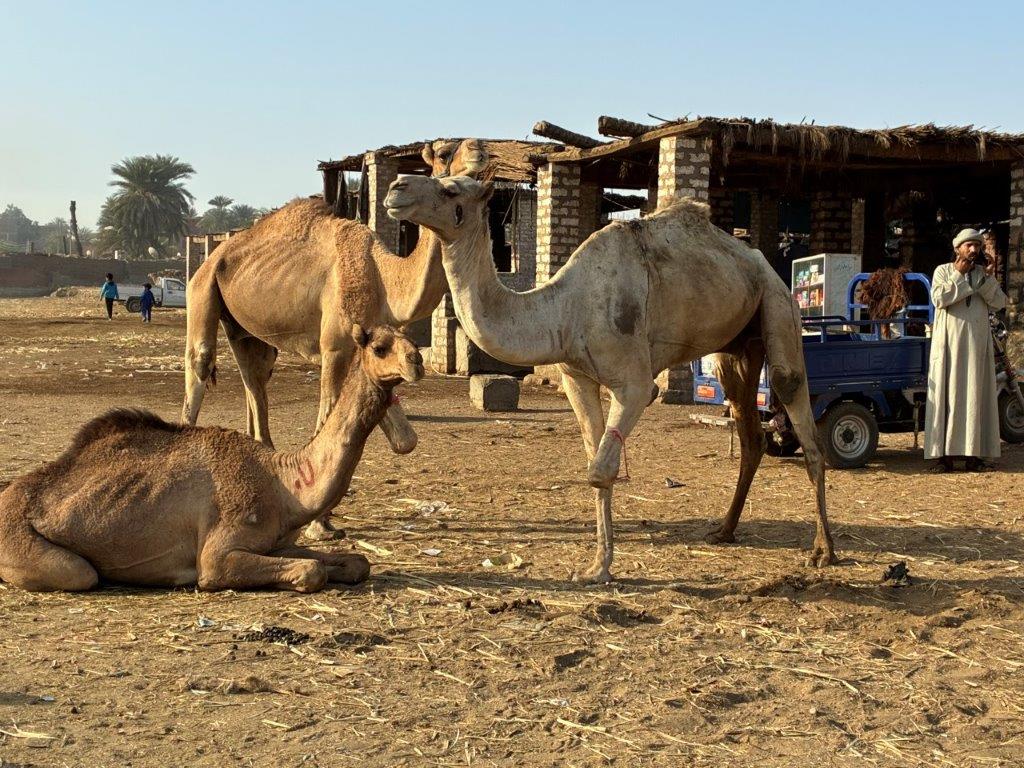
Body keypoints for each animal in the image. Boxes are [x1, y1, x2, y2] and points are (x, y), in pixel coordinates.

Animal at [0, 325, 423, 593]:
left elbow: (356, 563)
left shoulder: (275, 541)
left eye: (409, 338)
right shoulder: (219, 554)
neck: (283, 483)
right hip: (34, 548)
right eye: (379, 347)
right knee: (80, 573)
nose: (417, 360)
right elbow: (311, 570)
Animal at [183, 139, 488, 539]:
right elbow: (328, 413)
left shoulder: (374, 341)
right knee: (200, 366)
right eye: (442, 154)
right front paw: (319, 524)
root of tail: (217, 251)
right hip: (203, 289)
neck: (384, 278)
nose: (480, 151)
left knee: (255, 378)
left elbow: (404, 438)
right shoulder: (336, 346)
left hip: (246, 329)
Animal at [384, 175, 834, 583]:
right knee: (749, 429)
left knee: (795, 398)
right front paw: (597, 566)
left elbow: (601, 469)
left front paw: (603, 565)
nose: (396, 187)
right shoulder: (576, 377)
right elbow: (594, 461)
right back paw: (724, 530)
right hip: (736, 343)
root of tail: (758, 260)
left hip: (778, 302)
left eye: (450, 190)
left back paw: (823, 550)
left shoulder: (634, 384)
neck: (564, 310)